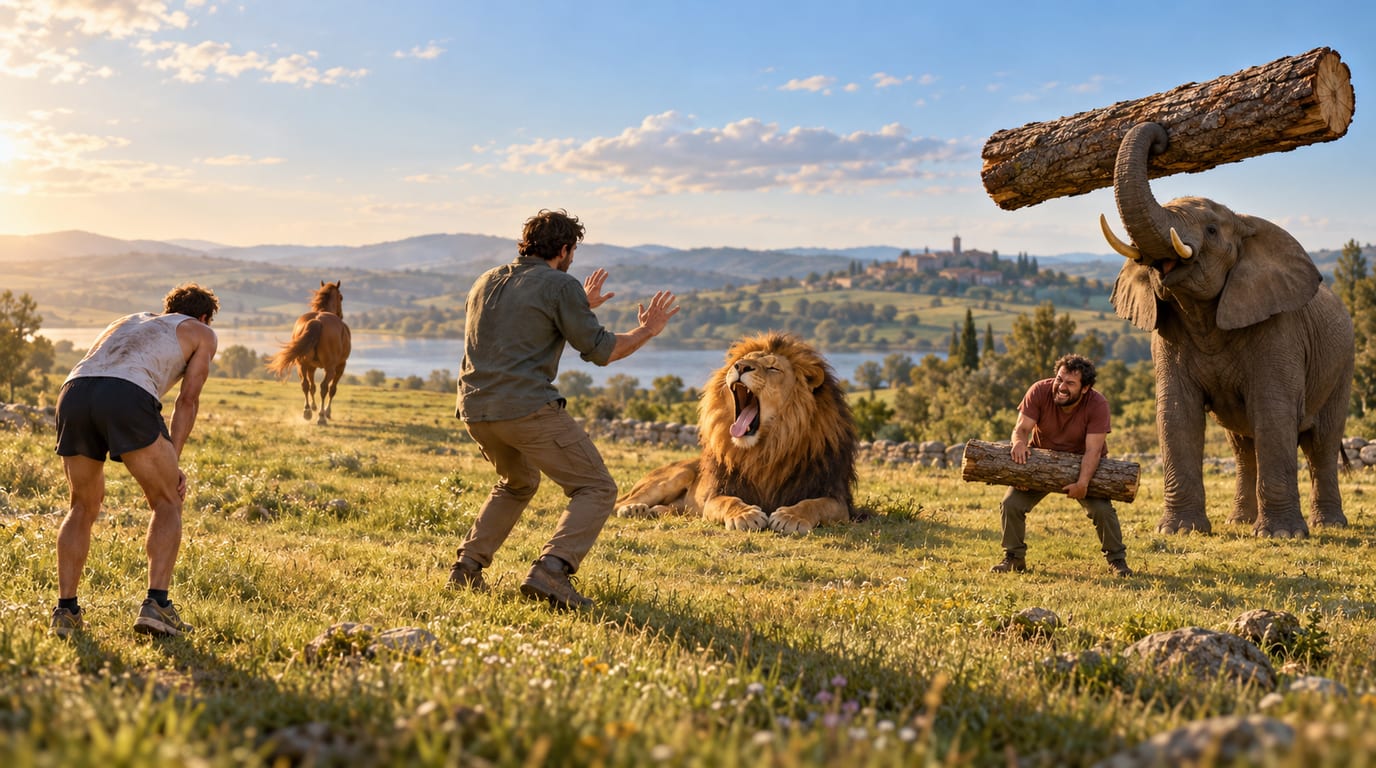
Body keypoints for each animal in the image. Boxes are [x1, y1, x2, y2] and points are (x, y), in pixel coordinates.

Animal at [266, 281, 353, 425]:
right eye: (341, 297)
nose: (341, 315)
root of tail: (318, 320)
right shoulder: (341, 365)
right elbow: (332, 389)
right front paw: (327, 412)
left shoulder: (311, 366)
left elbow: (312, 386)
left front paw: (313, 407)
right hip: (330, 368)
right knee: (324, 387)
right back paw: (321, 416)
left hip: (301, 365)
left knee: (305, 385)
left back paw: (307, 411)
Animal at [615, 332, 858, 533]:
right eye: (740, 362)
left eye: (773, 368)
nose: (740, 367)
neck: (768, 448)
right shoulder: (716, 495)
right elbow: (729, 501)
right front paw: (746, 515)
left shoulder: (836, 499)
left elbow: (813, 504)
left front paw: (791, 516)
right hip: (674, 476)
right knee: (620, 501)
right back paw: (633, 509)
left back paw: (650, 512)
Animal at [1100, 121, 1353, 538]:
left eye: (1212, 230)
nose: (1162, 138)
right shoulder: (1167, 338)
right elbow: (1176, 413)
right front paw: (1179, 531)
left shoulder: (1279, 329)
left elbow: (1273, 411)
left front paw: (1281, 535)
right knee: (1243, 444)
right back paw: (1241, 521)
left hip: (1343, 365)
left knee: (1322, 442)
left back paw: (1328, 525)